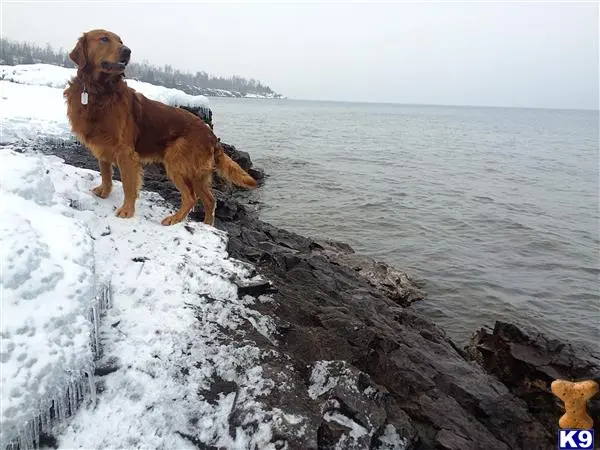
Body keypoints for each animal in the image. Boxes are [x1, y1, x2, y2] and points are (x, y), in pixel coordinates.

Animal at [63, 29, 255, 225]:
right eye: (104, 39)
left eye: (121, 41)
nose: (127, 51)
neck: (99, 91)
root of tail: (211, 134)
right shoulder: (103, 147)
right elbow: (106, 175)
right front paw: (104, 192)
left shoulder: (126, 153)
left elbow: (128, 185)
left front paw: (127, 211)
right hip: (196, 173)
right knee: (210, 200)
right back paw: (208, 226)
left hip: (177, 163)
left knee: (191, 198)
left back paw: (174, 219)